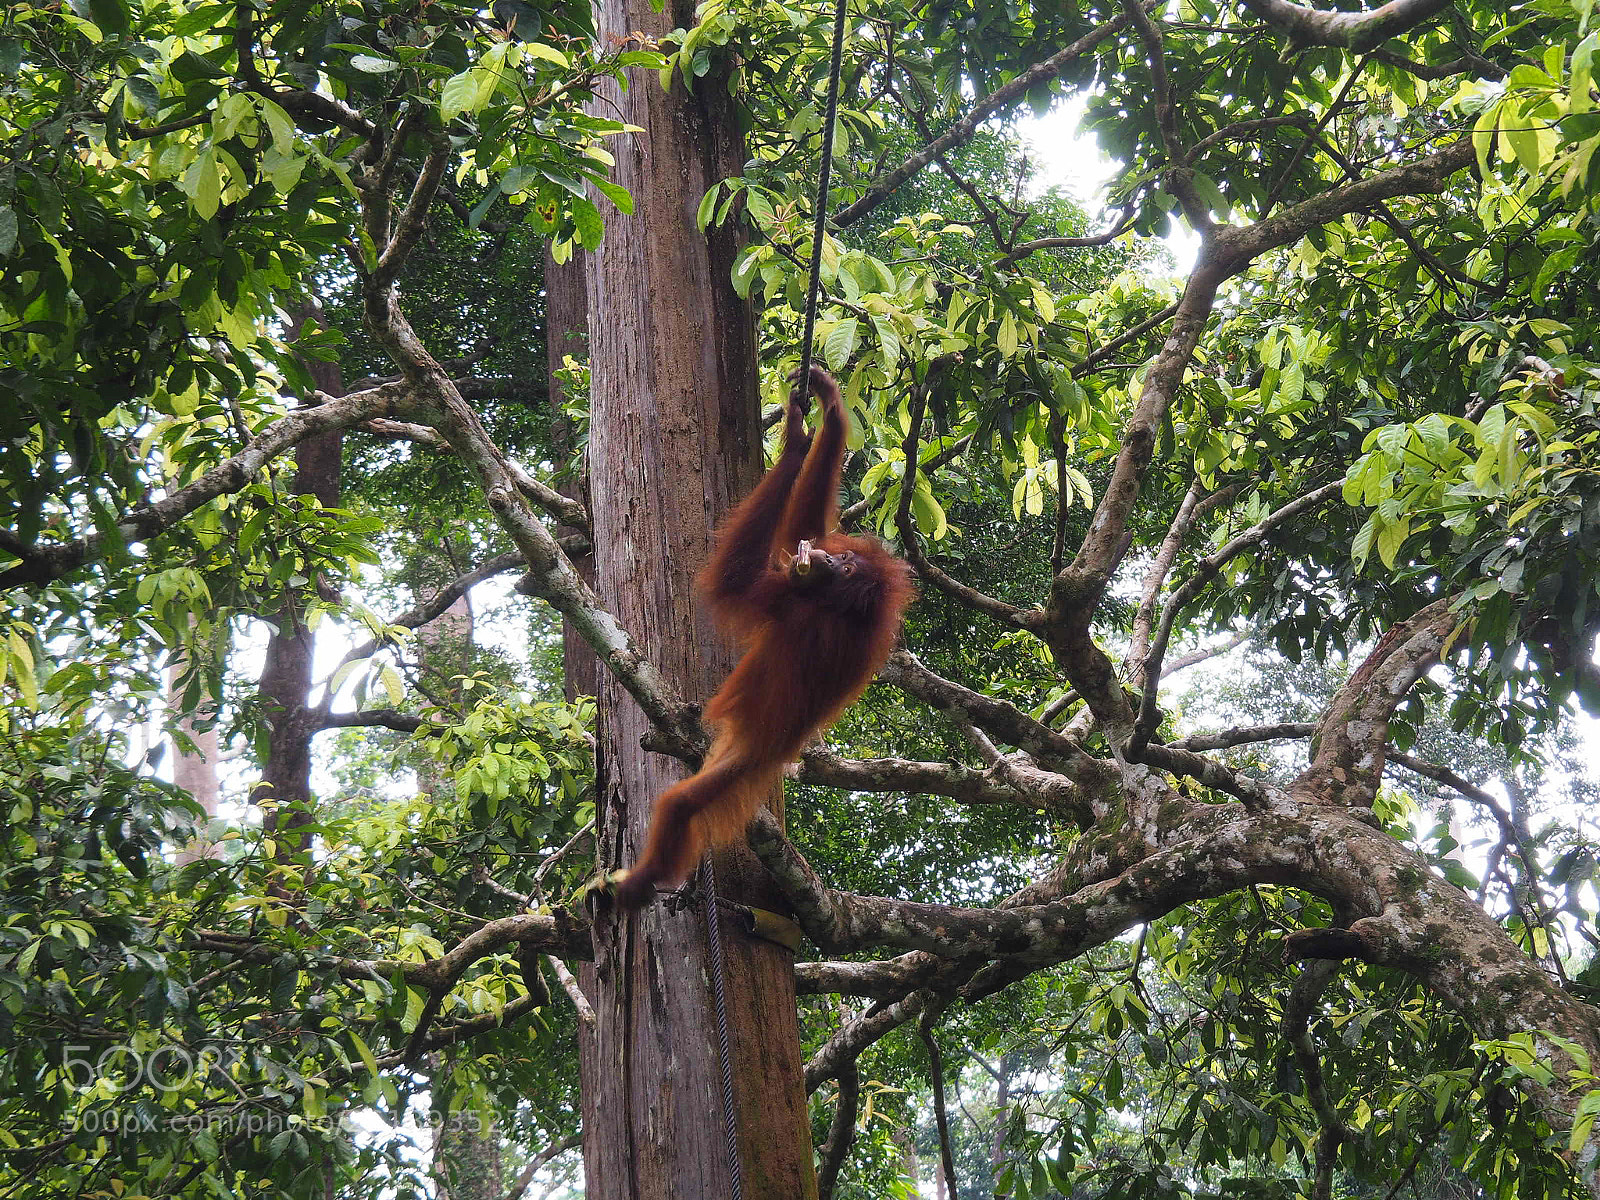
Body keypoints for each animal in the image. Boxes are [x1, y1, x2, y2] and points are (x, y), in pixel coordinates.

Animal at [615, 365, 915, 909]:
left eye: (845, 567)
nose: (827, 558)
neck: (847, 609)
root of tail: (768, 747)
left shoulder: (793, 603)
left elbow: (735, 580)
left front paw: (799, 435)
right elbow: (800, 527)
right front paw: (824, 414)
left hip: (747, 754)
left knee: (680, 806)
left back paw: (639, 882)